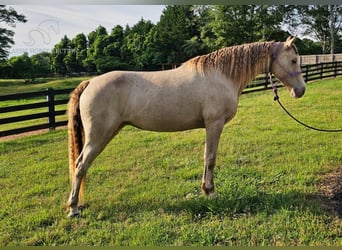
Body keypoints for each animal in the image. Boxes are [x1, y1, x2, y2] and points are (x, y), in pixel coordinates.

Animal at [66, 36, 304, 218]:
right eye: (293, 60)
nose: (301, 91)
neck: (221, 75)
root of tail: (90, 82)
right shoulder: (214, 124)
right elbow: (210, 157)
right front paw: (210, 192)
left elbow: (207, 157)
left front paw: (206, 190)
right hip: (98, 136)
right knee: (80, 166)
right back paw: (73, 208)